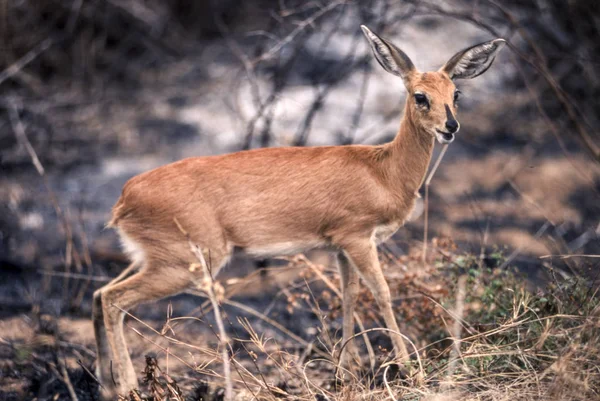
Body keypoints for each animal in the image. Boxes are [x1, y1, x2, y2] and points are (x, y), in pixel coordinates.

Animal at [95, 25, 506, 396]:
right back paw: (128, 386)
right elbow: (382, 293)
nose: (450, 126)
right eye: (420, 96)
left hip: (156, 258)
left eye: (456, 93)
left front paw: (344, 375)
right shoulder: (358, 238)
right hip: (189, 263)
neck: (383, 171)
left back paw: (106, 383)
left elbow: (349, 296)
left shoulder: (340, 247)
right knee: (114, 300)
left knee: (100, 293)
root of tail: (124, 197)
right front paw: (411, 373)